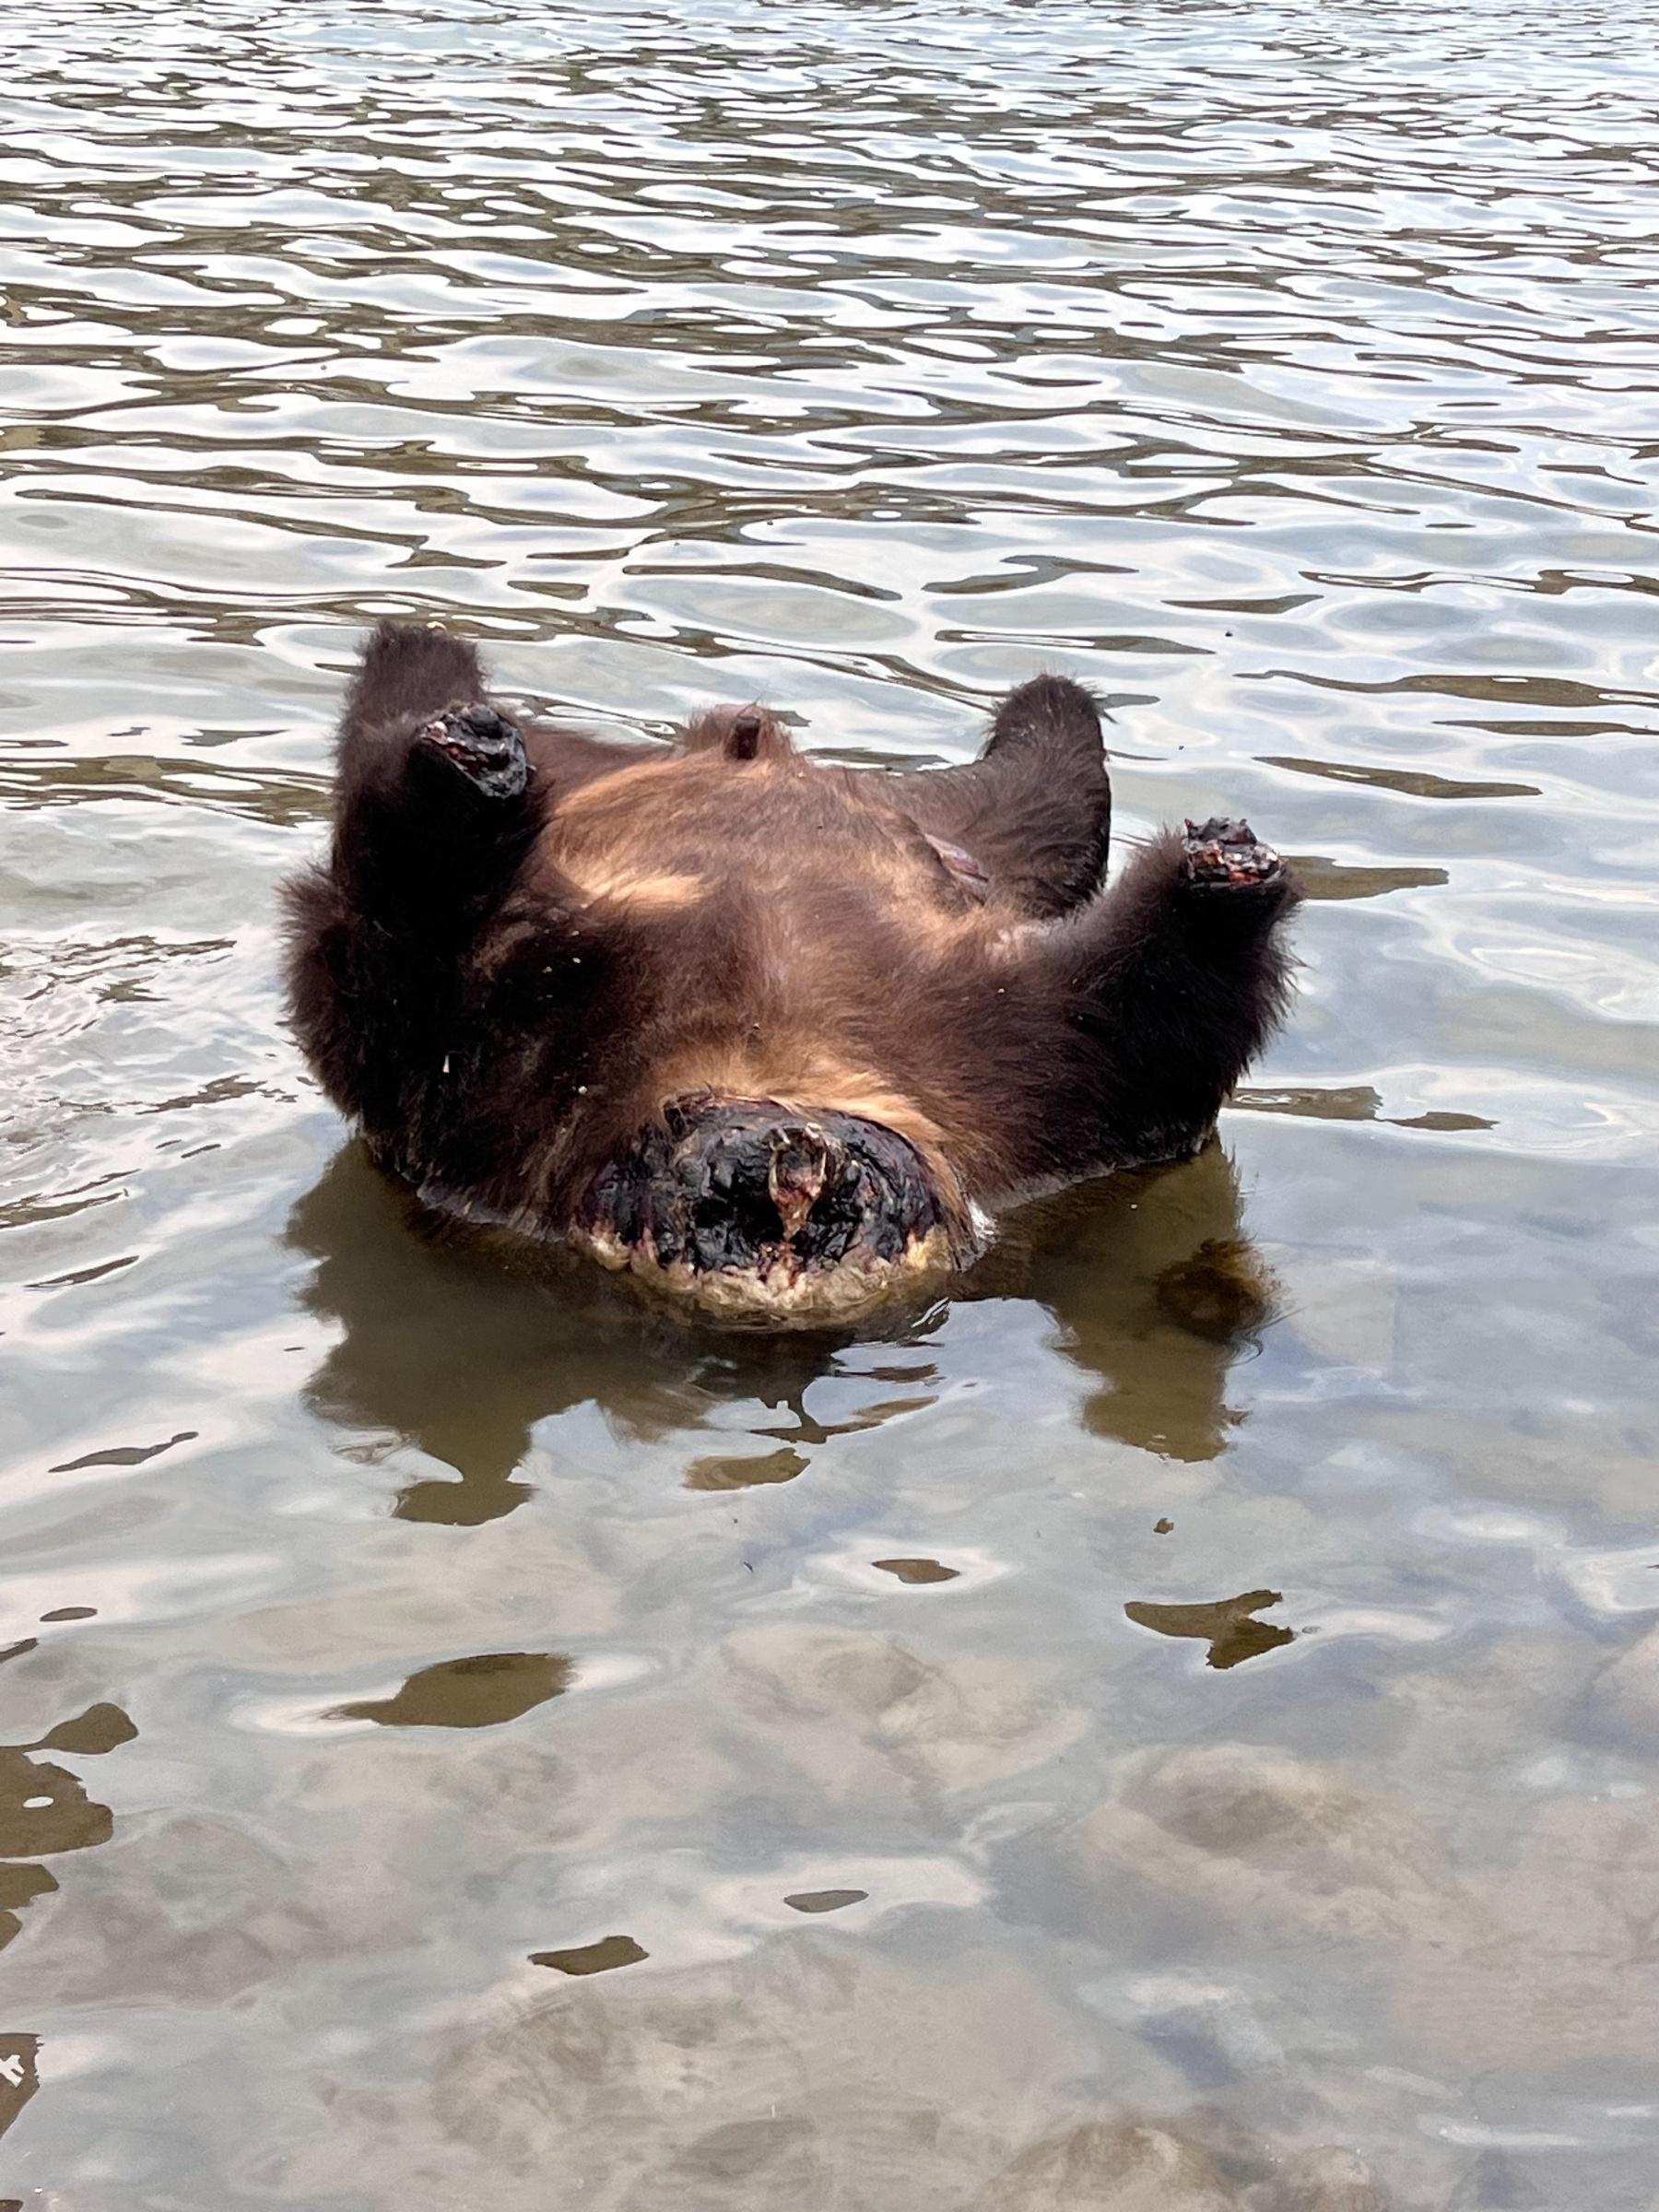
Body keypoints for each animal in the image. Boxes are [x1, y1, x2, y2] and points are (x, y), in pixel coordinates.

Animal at [283, 615, 1300, 1318]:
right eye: (724, 1210)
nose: (794, 1164)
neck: (771, 1041)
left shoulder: (1043, 1090)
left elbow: (1156, 1011)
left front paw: (1221, 874)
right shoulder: (489, 1080)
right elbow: (395, 961)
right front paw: (462, 779)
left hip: (983, 836)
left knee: (1051, 766)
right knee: (398, 697)